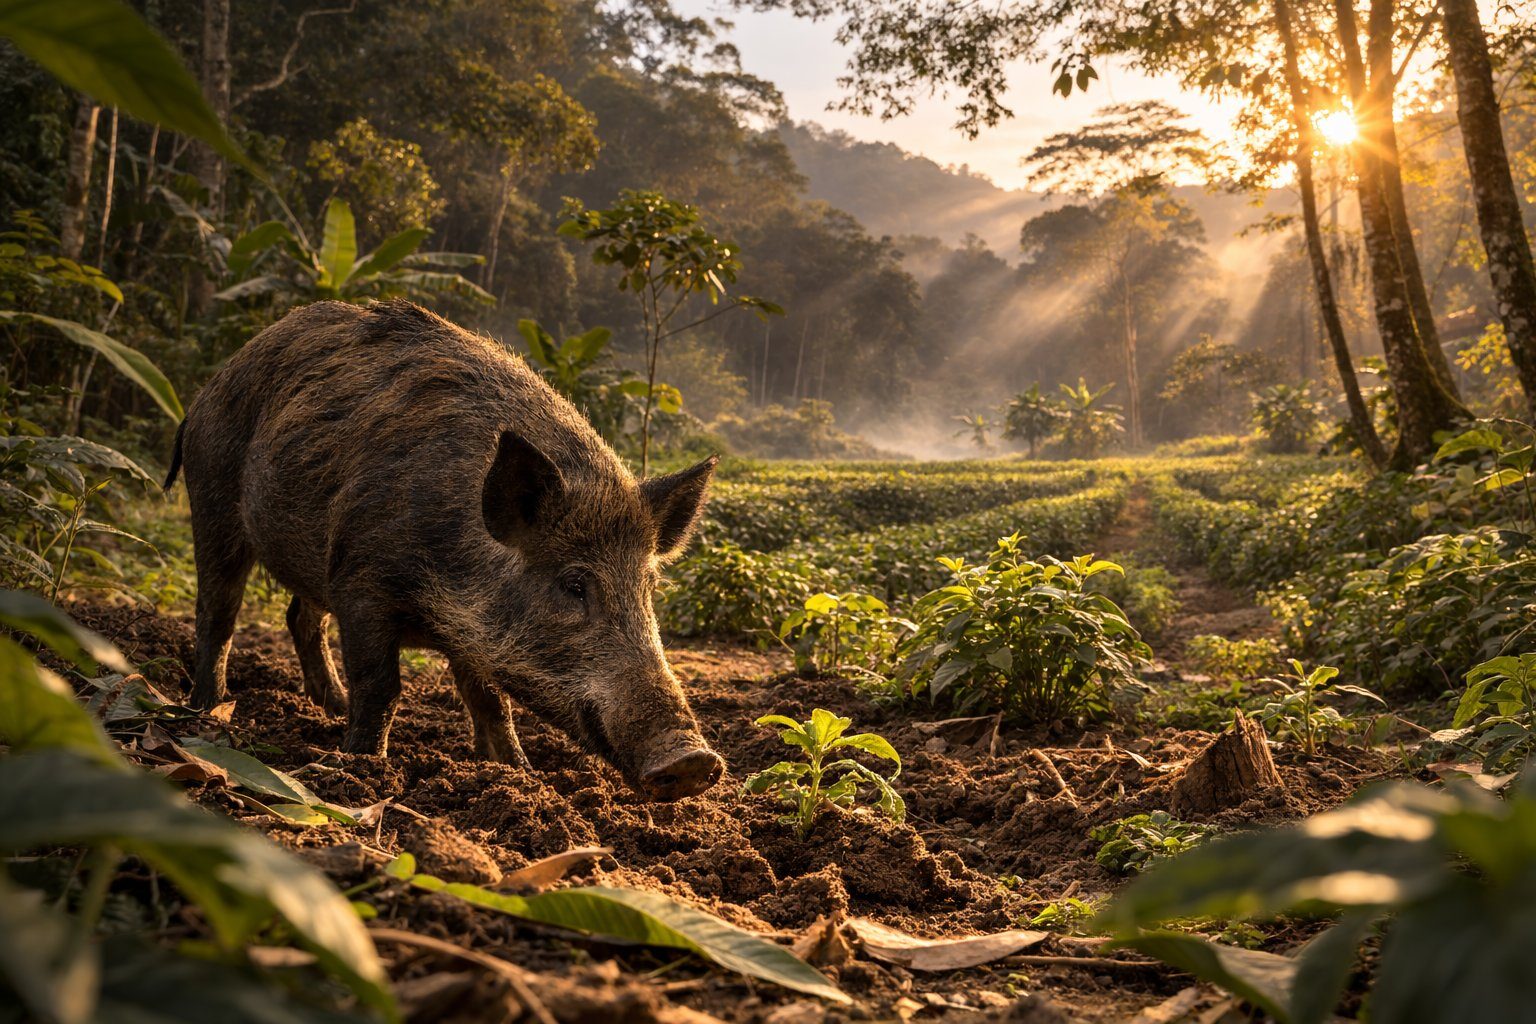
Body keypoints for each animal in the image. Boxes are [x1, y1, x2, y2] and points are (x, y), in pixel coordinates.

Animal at [164, 299, 725, 801]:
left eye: (650, 588)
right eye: (573, 584)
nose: (695, 759)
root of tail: (209, 387)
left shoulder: (464, 633)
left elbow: (490, 700)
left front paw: (521, 774)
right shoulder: (362, 583)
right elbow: (382, 687)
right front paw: (362, 768)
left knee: (300, 616)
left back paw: (330, 708)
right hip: (212, 496)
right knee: (218, 612)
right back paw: (207, 709)